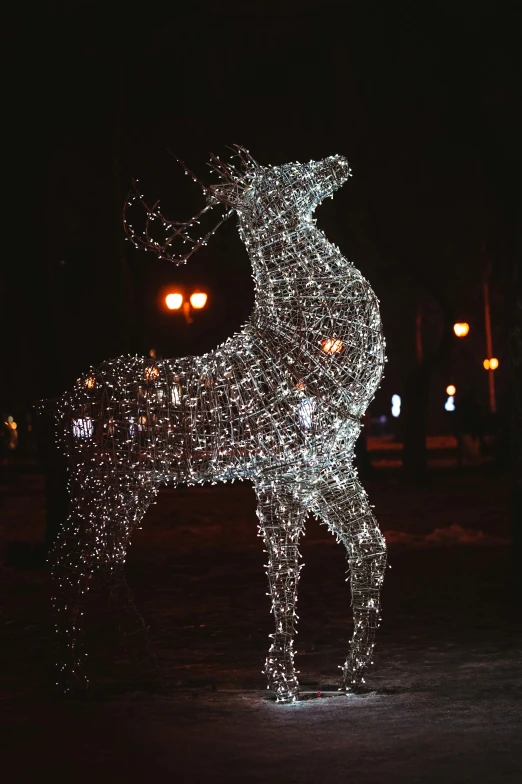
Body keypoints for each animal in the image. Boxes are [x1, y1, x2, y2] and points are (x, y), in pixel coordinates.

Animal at [50, 147, 384, 704]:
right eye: (283, 175)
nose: (337, 160)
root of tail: (58, 406)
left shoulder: (328, 466)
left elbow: (369, 547)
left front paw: (354, 676)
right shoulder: (279, 471)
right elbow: (284, 571)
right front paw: (283, 682)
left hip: (132, 484)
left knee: (104, 558)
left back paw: (147, 671)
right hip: (96, 479)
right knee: (68, 560)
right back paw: (70, 678)